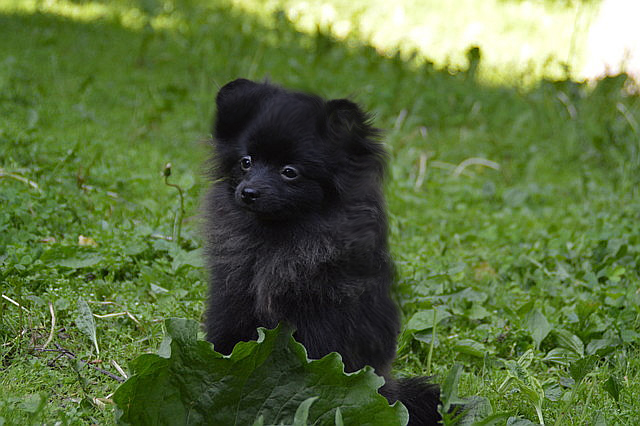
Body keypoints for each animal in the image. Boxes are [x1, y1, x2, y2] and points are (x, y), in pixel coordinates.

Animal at [204, 79, 440, 422]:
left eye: (290, 172)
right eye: (246, 162)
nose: (248, 192)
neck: (279, 238)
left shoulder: (322, 320)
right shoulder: (232, 302)